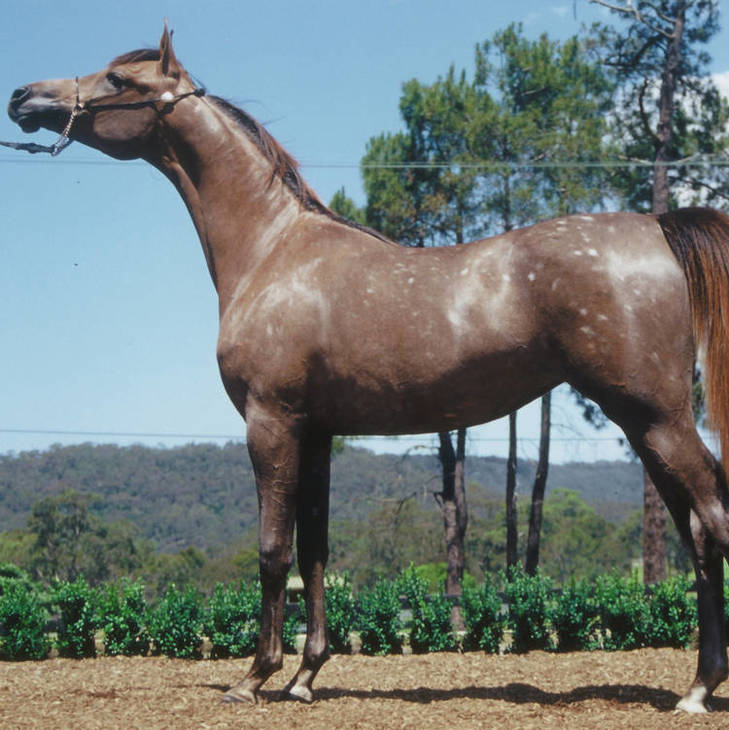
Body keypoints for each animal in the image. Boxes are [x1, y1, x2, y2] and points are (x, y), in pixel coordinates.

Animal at [8, 23, 729, 713]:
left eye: (117, 79)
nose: (23, 97)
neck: (273, 249)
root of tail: (659, 228)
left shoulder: (270, 424)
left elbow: (272, 550)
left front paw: (254, 678)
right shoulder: (317, 433)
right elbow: (315, 551)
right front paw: (305, 677)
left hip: (655, 418)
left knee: (713, 521)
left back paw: (699, 691)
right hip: (642, 425)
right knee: (695, 534)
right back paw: (695, 685)